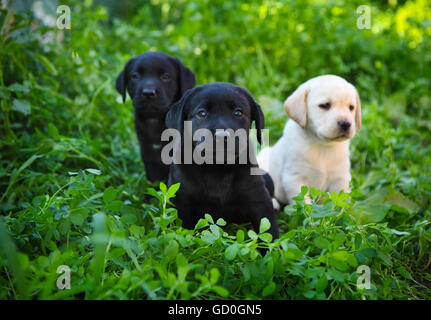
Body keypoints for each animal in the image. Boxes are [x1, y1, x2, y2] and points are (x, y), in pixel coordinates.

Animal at [165, 82, 280, 240]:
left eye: (238, 113)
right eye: (202, 113)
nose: (222, 136)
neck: (217, 167)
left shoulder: (258, 197)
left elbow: (269, 230)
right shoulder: (180, 199)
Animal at [258, 74, 362, 204]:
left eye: (351, 107)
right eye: (325, 105)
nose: (346, 124)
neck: (322, 145)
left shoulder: (341, 178)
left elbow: (341, 202)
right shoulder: (295, 178)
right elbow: (304, 203)